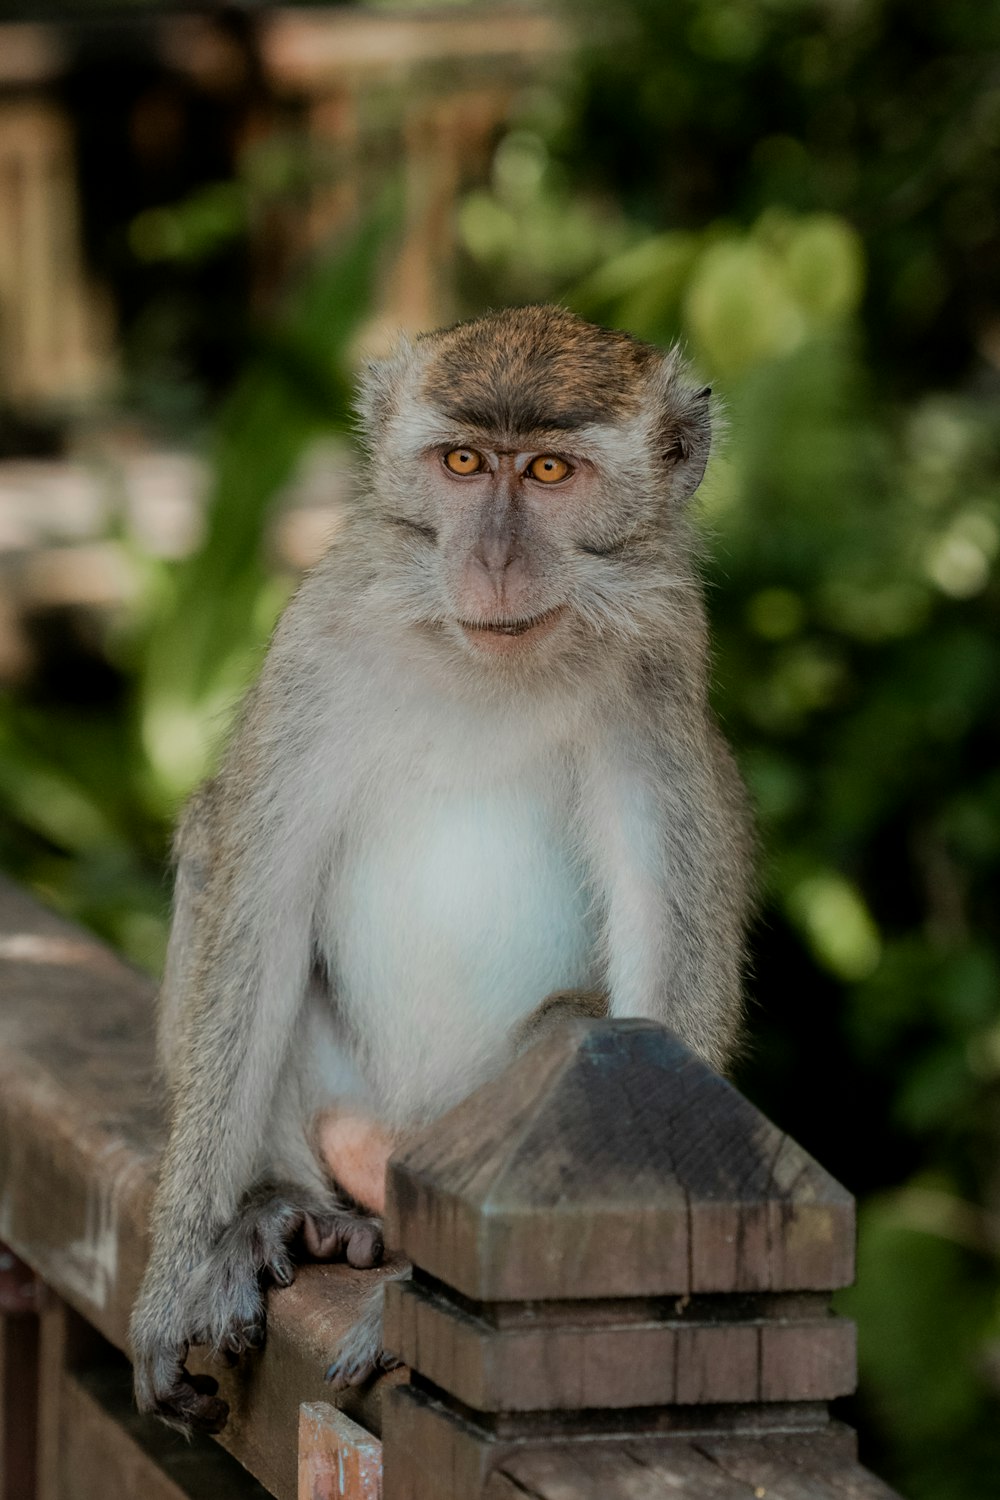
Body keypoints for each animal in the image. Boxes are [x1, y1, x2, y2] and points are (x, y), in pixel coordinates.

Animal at [131, 301, 749, 1428]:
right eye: (463, 462)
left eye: (547, 472)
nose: (493, 558)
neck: (484, 663)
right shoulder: (315, 642)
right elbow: (258, 913)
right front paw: (173, 1281)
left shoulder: (660, 681)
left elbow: (664, 989)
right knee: (211, 845)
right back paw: (288, 1211)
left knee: (577, 1034)